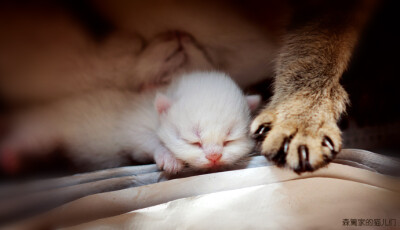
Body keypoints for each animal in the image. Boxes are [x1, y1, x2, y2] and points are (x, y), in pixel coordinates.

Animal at [0, 73, 260, 173]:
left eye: (230, 139)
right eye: (193, 141)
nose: (214, 157)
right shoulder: (134, 124)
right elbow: (147, 140)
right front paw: (168, 157)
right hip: (45, 128)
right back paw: (10, 157)